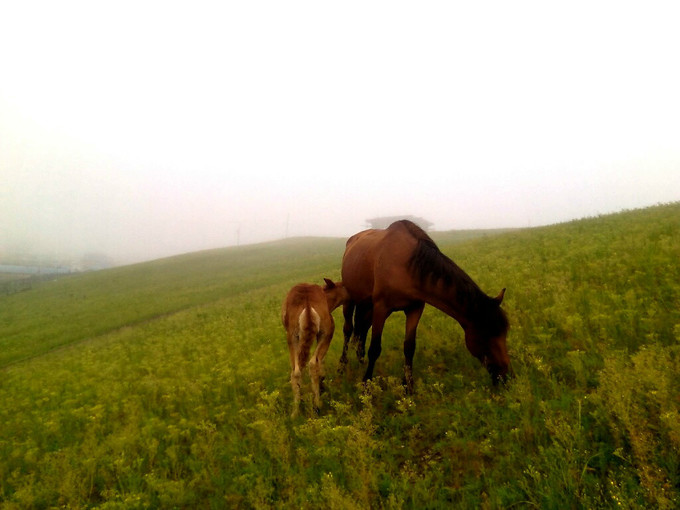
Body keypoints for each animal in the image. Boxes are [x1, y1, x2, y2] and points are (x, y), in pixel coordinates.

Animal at [282, 280, 348, 416]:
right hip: (322, 334)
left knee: (298, 370)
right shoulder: (326, 335)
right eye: (343, 285)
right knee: (310, 365)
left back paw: (298, 410)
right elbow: (320, 362)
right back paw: (314, 406)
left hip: (293, 338)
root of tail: (307, 306)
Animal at [342, 220, 508, 390]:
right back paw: (342, 367)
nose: (506, 376)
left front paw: (408, 386)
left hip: (367, 305)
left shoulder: (414, 308)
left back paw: (360, 361)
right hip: (351, 300)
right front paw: (366, 384)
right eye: (486, 336)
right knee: (348, 330)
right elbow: (375, 348)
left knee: (362, 330)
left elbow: (409, 347)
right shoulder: (382, 308)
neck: (405, 266)